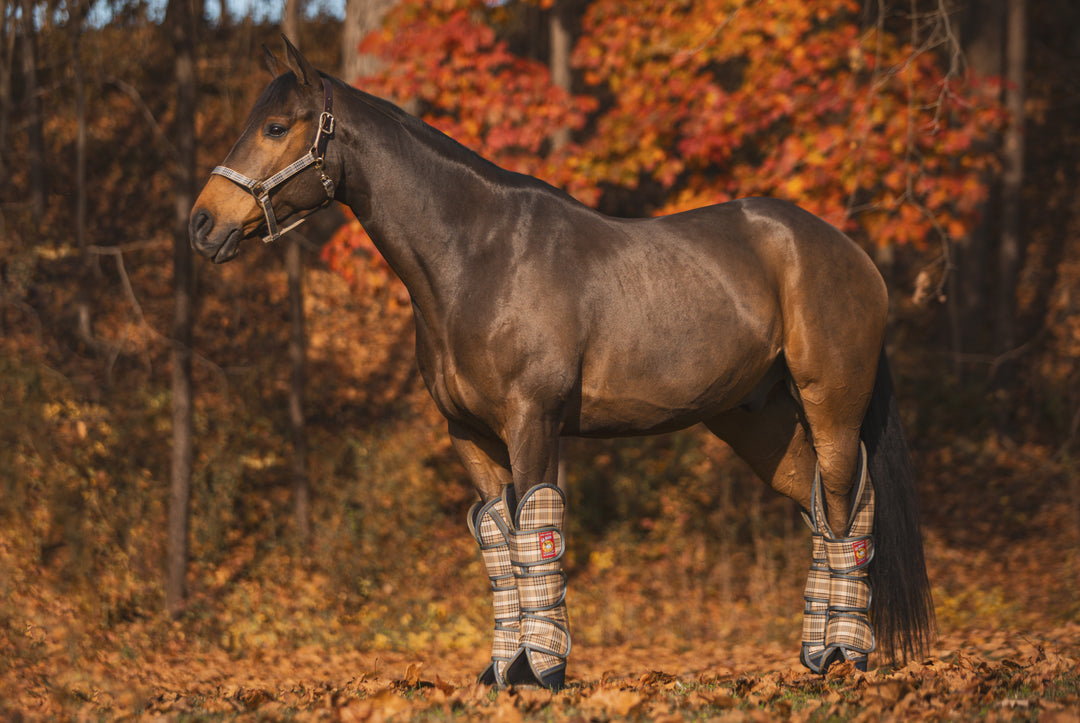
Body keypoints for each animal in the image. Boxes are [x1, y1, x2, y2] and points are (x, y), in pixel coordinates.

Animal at [190, 38, 933, 687]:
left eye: (276, 126)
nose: (202, 225)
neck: (477, 256)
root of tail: (850, 252)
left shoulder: (532, 420)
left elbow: (534, 535)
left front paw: (539, 672)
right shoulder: (471, 436)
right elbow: (501, 544)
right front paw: (500, 673)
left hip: (832, 408)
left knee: (849, 509)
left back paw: (847, 657)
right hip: (759, 421)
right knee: (820, 510)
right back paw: (819, 655)